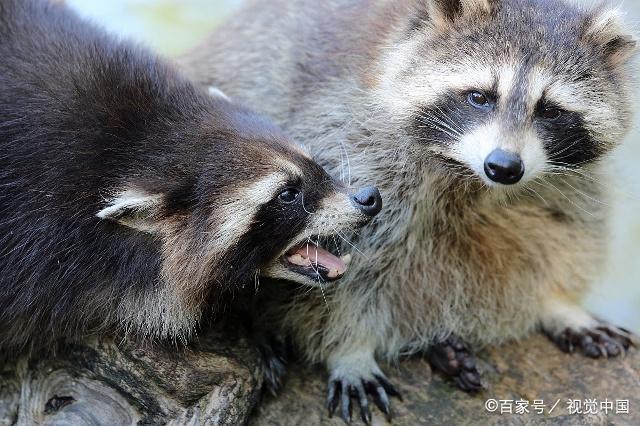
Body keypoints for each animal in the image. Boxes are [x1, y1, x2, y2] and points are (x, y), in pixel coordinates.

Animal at [182, 0, 636, 422]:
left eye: (550, 109)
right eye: (480, 97)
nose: (504, 166)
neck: (472, 181)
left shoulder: (564, 182)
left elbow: (567, 230)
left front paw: (558, 302)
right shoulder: (347, 143)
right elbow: (335, 276)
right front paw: (349, 349)